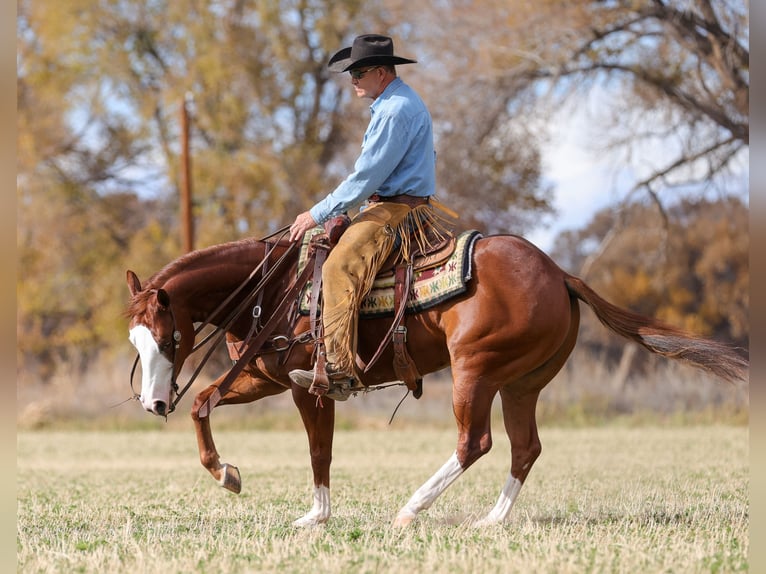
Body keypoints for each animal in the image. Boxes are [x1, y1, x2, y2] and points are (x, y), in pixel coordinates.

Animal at [125, 231, 748, 527]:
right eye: (135, 342)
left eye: (167, 339)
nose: (153, 404)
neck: (276, 288)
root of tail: (559, 274)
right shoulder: (263, 377)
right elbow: (204, 402)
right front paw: (226, 473)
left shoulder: (308, 385)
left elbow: (318, 449)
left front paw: (314, 514)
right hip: (521, 383)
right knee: (524, 447)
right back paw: (490, 521)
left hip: (475, 370)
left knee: (476, 441)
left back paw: (410, 509)